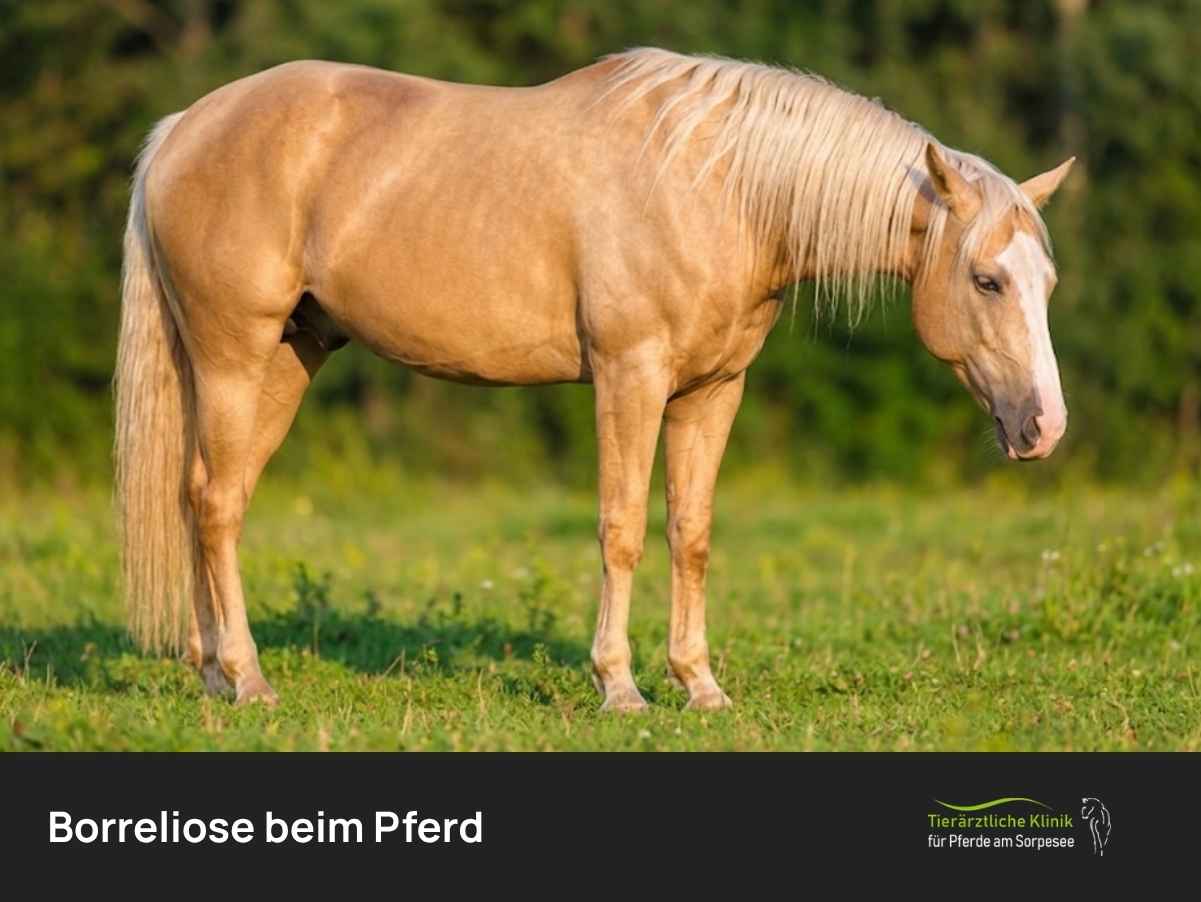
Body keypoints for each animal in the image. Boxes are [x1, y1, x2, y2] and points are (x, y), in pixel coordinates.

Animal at [115, 48, 1074, 711]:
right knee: (216, 504)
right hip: (233, 352)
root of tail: (184, 126)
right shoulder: (628, 376)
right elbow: (621, 530)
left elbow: (690, 533)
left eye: (1046, 282)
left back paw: (213, 674)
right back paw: (248, 680)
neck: (719, 187)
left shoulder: (711, 391)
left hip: (285, 358)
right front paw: (620, 686)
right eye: (986, 280)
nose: (1044, 428)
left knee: (204, 497)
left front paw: (699, 685)